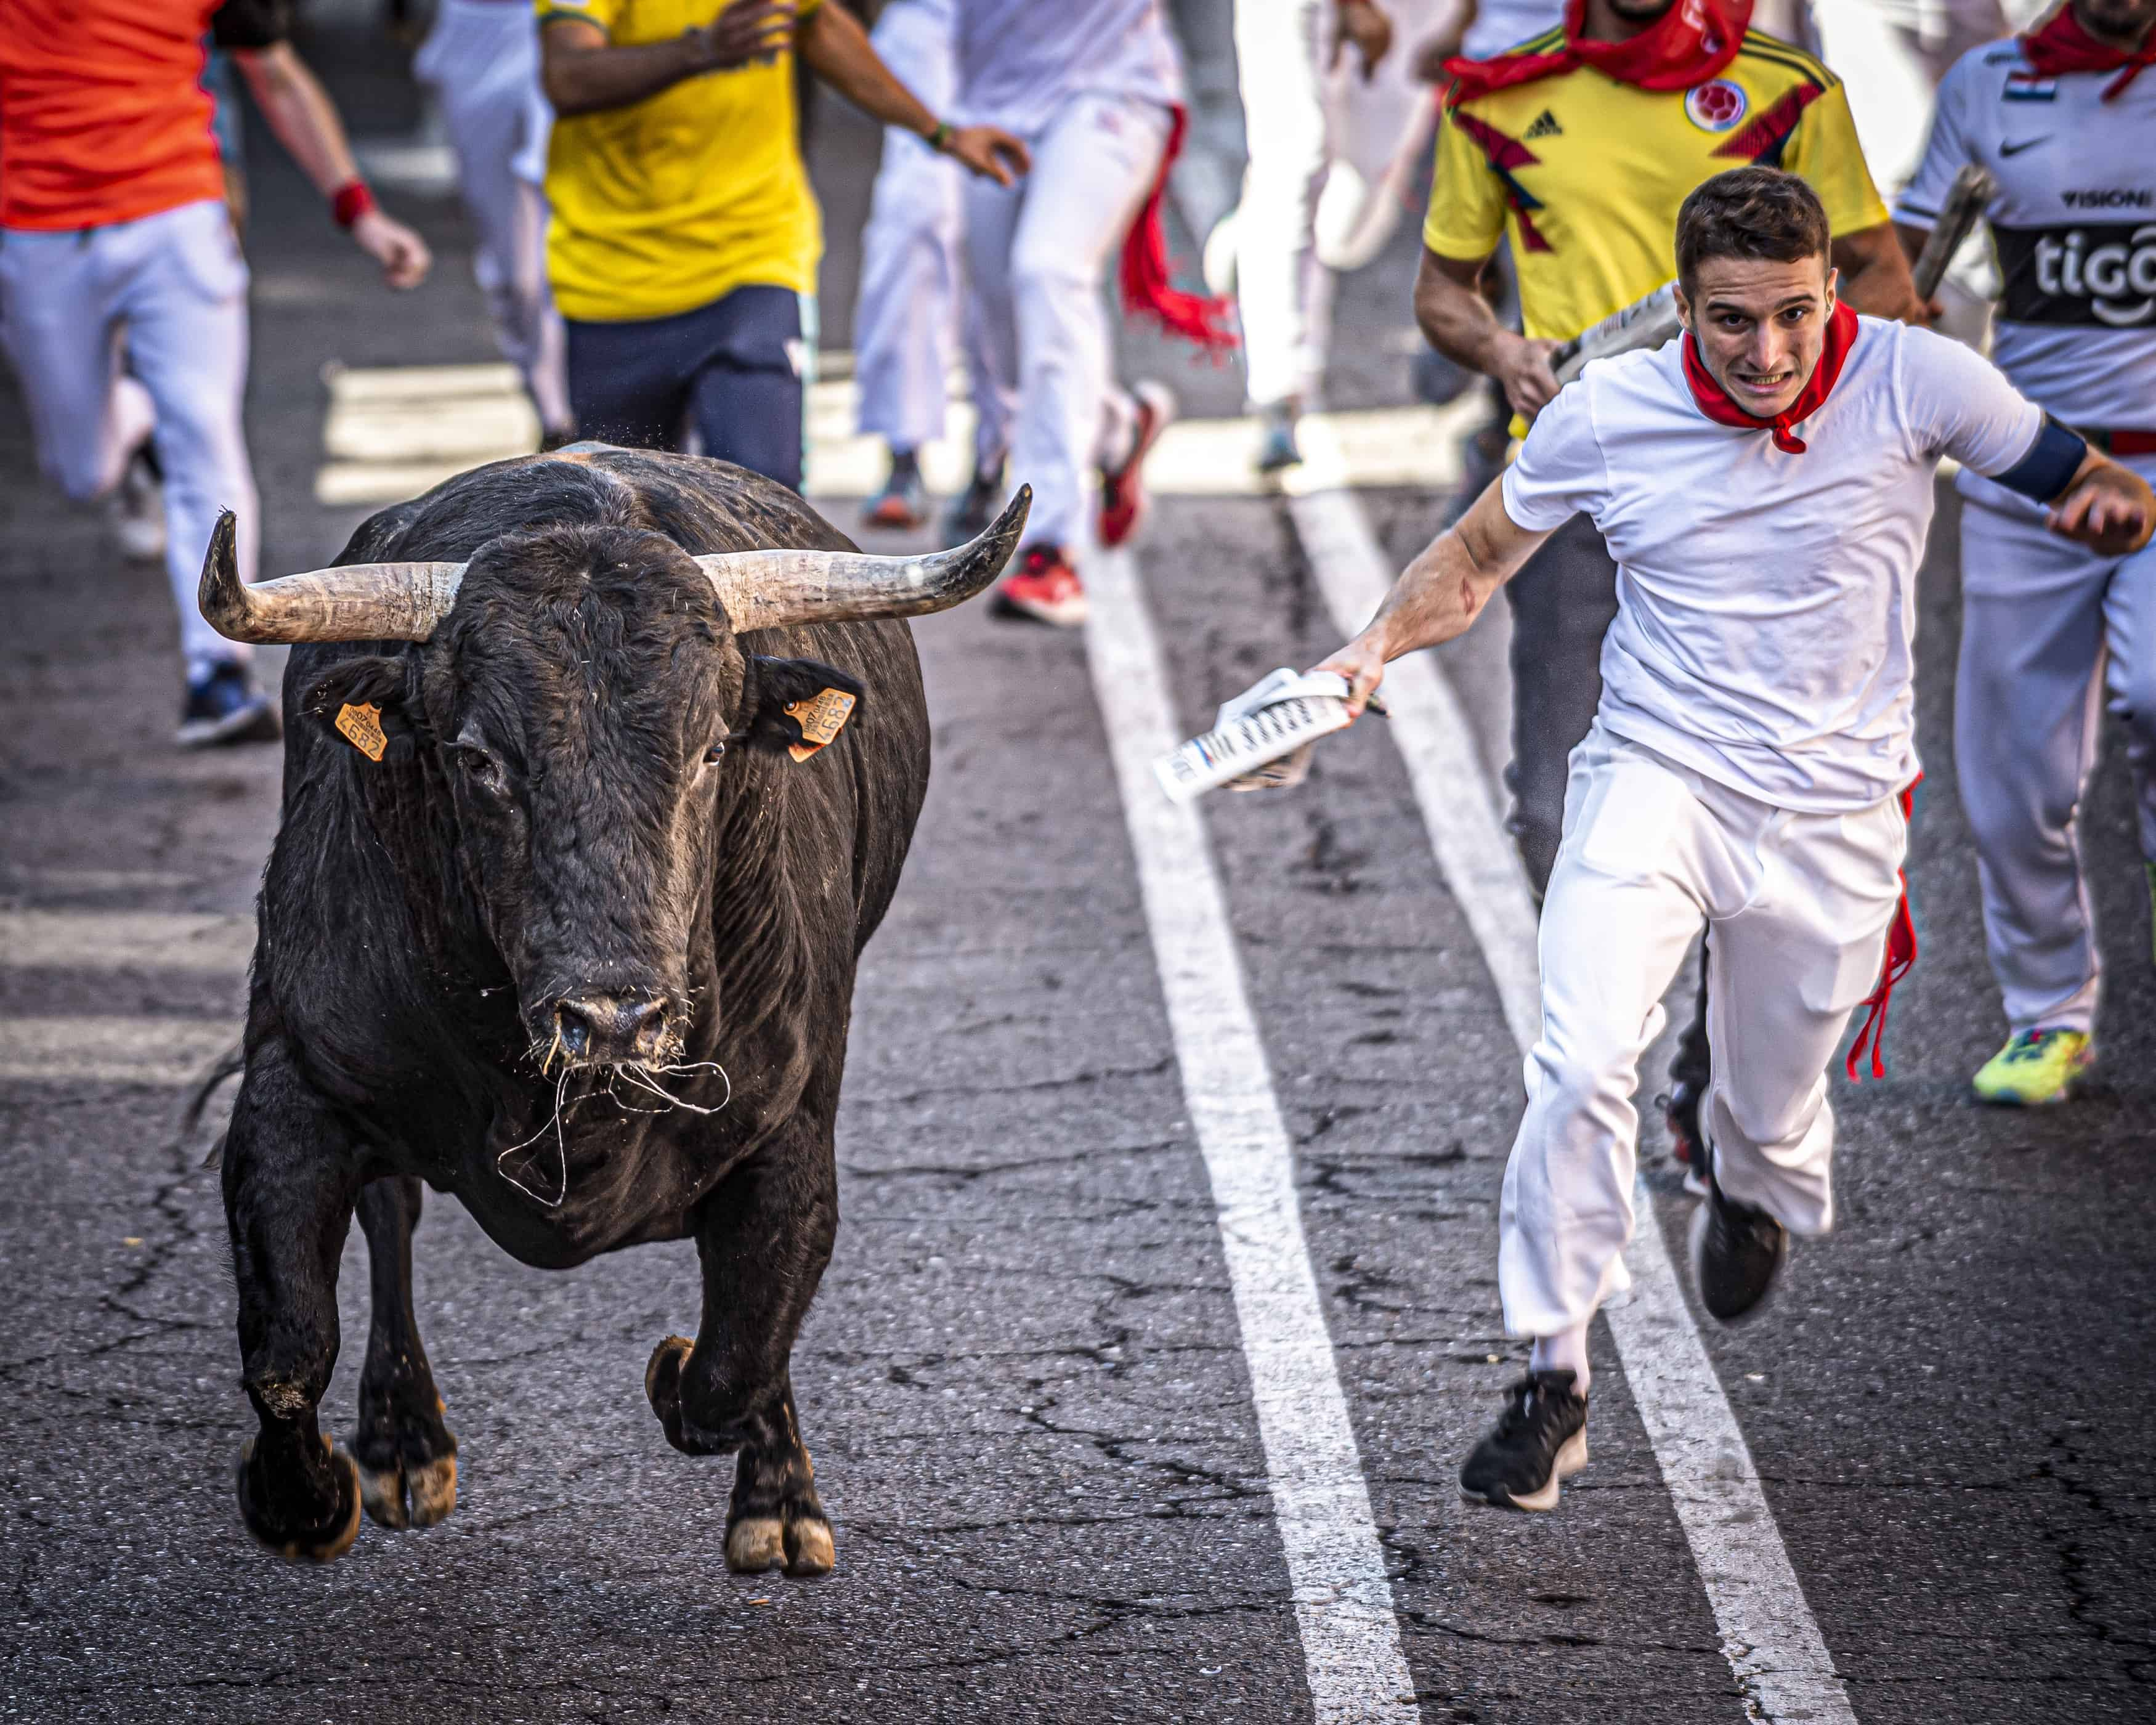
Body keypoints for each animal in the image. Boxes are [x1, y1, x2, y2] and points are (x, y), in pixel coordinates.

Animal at [208, 448, 1026, 1578]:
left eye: (713, 752)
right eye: (476, 759)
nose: (614, 1018)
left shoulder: (790, 1128)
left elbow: (735, 1357)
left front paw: (735, 1446)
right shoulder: (294, 1077)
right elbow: (289, 1343)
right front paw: (303, 1500)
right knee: (392, 1214)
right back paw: (403, 1443)